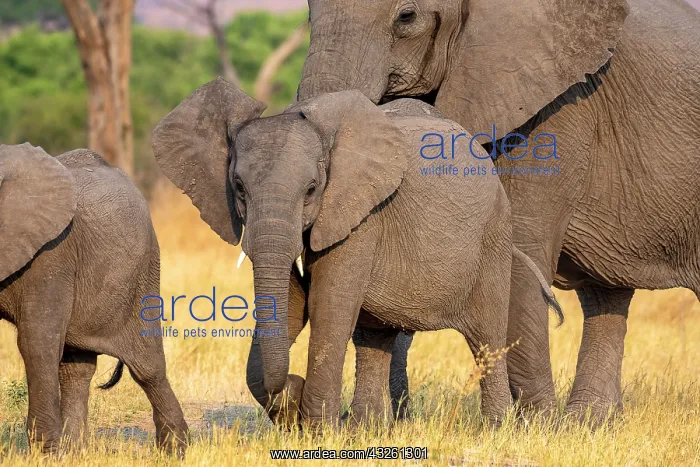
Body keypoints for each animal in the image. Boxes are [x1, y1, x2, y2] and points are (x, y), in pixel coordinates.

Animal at [0, 144, 188, 455]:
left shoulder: (52, 253)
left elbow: (37, 340)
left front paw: (44, 454)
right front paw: (53, 452)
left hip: (144, 271)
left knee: (147, 367)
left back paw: (175, 451)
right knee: (76, 367)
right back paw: (73, 451)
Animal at [151, 78, 562, 426]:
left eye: (312, 189)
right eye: (238, 187)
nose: (292, 385)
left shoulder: (361, 217)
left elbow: (328, 305)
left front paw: (316, 430)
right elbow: (291, 304)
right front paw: (294, 410)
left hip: (493, 235)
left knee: (486, 336)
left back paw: (495, 429)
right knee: (373, 338)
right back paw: (367, 430)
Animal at [296, 0, 700, 422]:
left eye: (406, 17)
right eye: (308, 13)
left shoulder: (559, 109)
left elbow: (521, 249)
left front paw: (536, 426)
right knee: (604, 296)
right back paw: (590, 423)